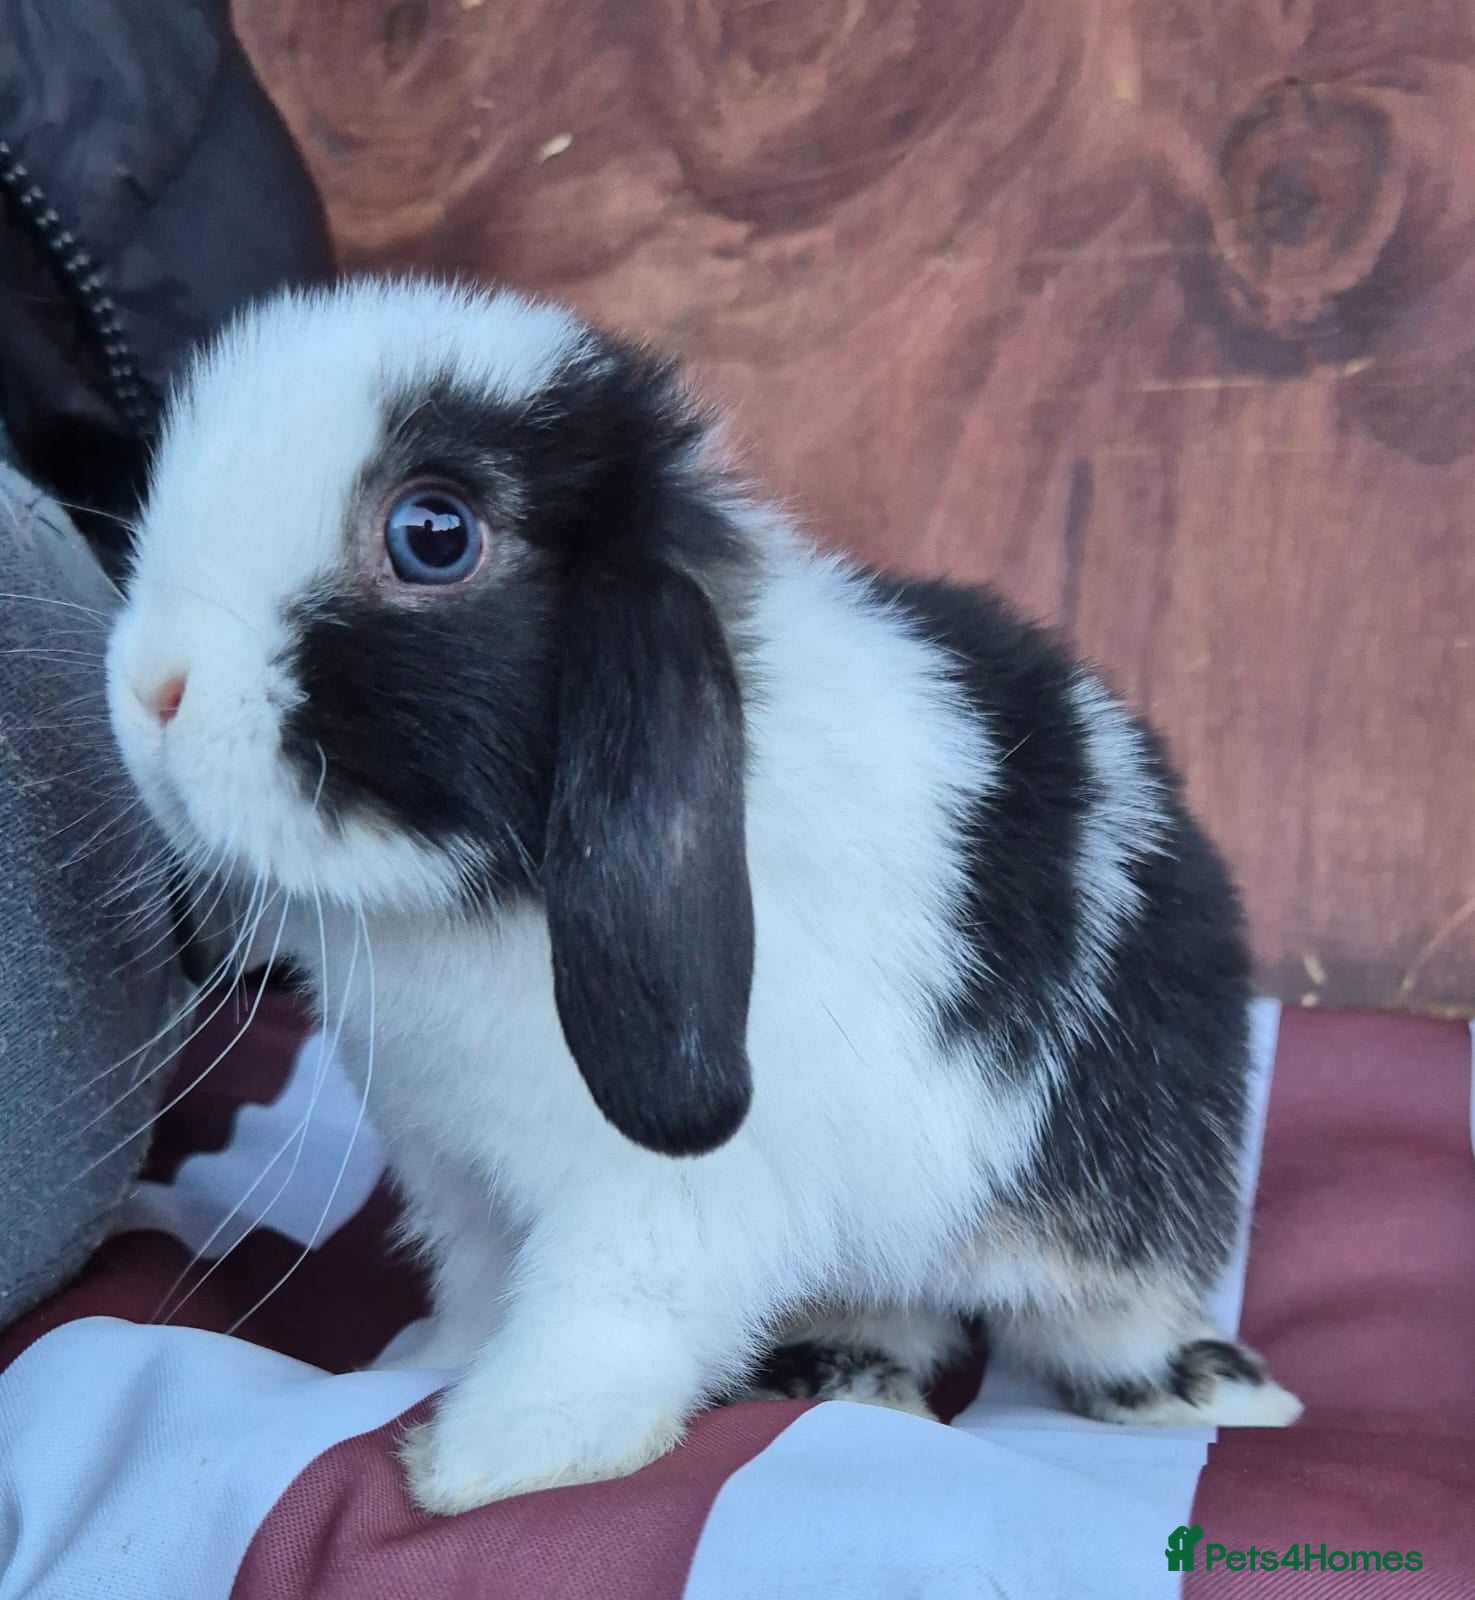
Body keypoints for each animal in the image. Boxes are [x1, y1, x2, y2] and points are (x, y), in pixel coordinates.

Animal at [107, 276, 1302, 1514]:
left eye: (432, 534)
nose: (152, 687)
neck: (485, 901)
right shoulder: (463, 1180)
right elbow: (481, 1290)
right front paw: (421, 1366)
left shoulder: (661, 1201)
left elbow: (606, 1319)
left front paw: (488, 1454)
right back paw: (848, 1374)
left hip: (1106, 1199)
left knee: (1095, 1316)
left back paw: (1204, 1389)